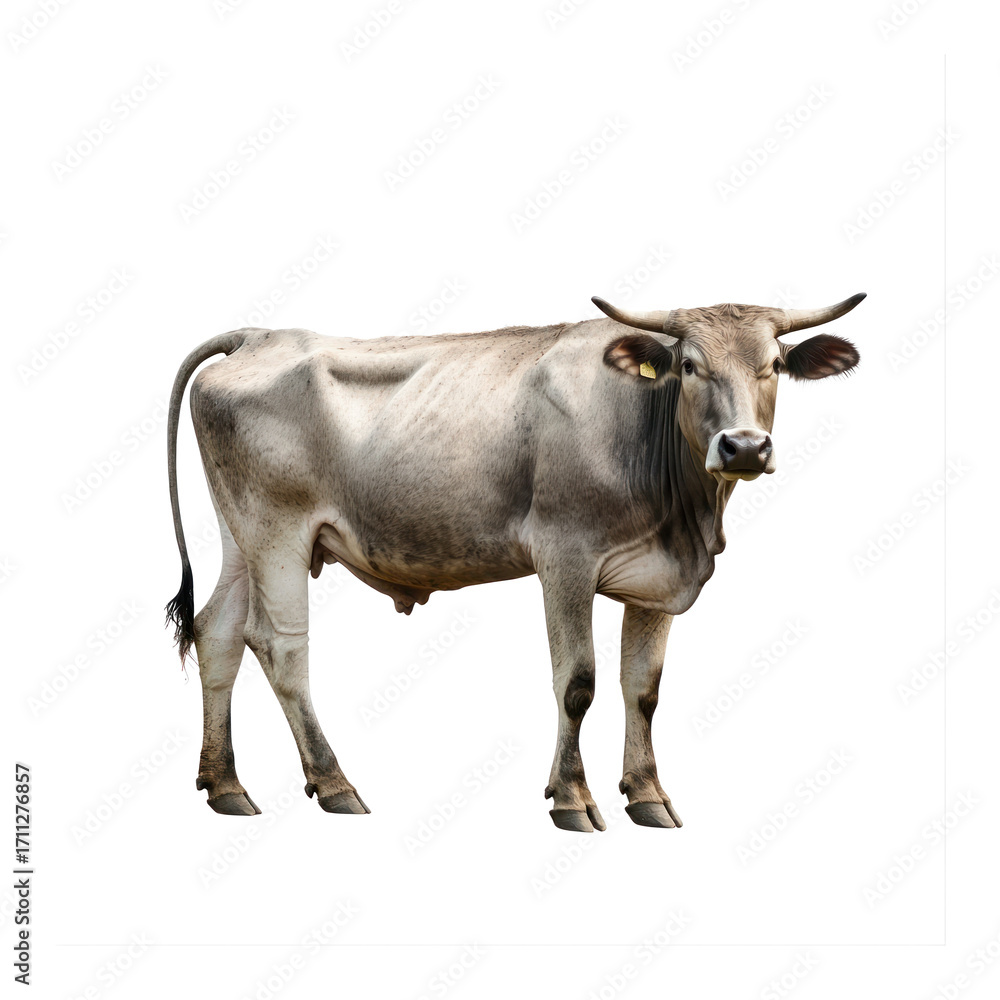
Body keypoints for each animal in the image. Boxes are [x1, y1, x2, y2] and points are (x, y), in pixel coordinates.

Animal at [166, 292, 864, 831]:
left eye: (775, 364)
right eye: (689, 366)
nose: (743, 446)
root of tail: (260, 336)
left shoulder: (655, 579)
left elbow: (642, 689)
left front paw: (647, 795)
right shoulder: (565, 555)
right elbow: (577, 682)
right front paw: (572, 798)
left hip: (239, 535)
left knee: (217, 632)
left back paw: (226, 786)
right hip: (277, 531)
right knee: (279, 645)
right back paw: (335, 784)